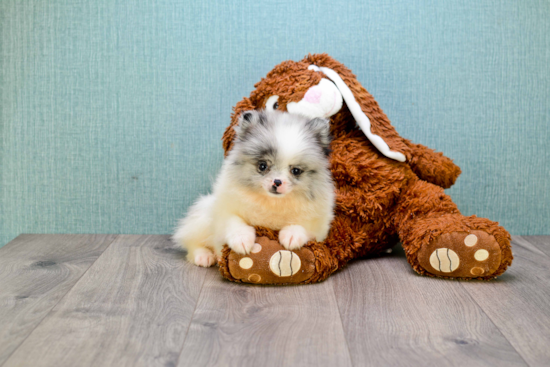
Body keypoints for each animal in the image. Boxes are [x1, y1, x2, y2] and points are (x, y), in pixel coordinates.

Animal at [174, 109, 336, 268]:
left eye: (296, 171)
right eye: (262, 166)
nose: (277, 182)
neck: (272, 202)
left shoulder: (319, 223)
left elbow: (302, 226)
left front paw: (292, 236)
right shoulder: (225, 211)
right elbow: (235, 223)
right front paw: (242, 240)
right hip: (202, 218)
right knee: (191, 241)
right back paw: (204, 256)